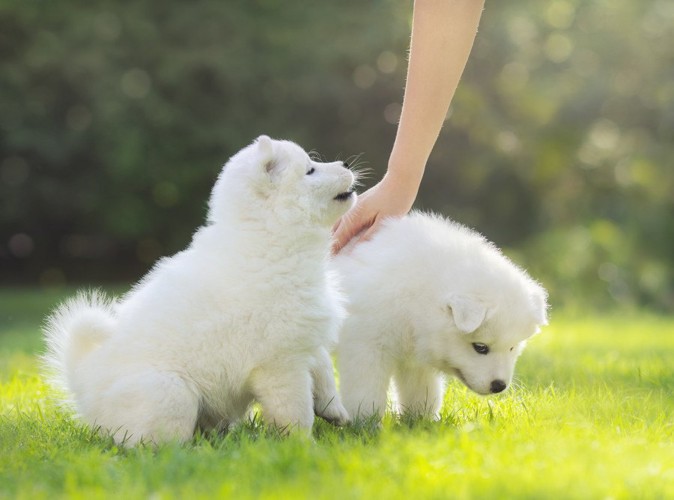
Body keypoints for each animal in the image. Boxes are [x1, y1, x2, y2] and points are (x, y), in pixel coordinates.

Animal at [44, 136, 354, 446]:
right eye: (310, 170)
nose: (346, 163)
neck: (272, 236)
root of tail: (85, 387)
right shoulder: (280, 364)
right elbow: (296, 411)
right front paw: (305, 446)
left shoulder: (307, 337)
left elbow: (324, 373)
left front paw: (336, 412)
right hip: (172, 393)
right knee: (154, 440)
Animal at [330, 211, 544, 422]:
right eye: (480, 347)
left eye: (512, 347)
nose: (499, 385)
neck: (419, 293)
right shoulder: (366, 345)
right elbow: (366, 390)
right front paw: (364, 421)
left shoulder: (416, 355)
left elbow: (421, 390)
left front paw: (421, 420)